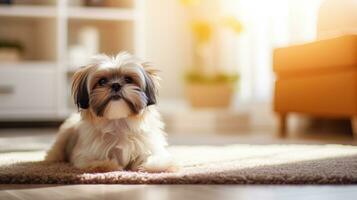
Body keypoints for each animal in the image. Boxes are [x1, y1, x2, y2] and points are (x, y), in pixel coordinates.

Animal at [45, 52, 176, 173]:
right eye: (102, 81)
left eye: (128, 79)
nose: (116, 85)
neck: (118, 122)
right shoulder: (85, 156)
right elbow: (101, 163)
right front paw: (113, 166)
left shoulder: (148, 147)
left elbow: (153, 160)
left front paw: (154, 166)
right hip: (65, 134)